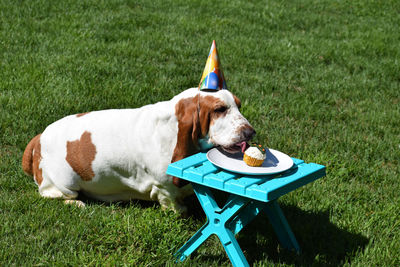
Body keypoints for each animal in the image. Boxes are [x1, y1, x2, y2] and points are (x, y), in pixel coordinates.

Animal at [21, 88, 255, 214]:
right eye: (219, 109)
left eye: (239, 105)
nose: (250, 132)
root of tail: (39, 137)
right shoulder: (164, 188)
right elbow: (173, 204)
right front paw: (181, 211)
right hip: (65, 185)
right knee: (50, 194)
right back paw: (77, 203)